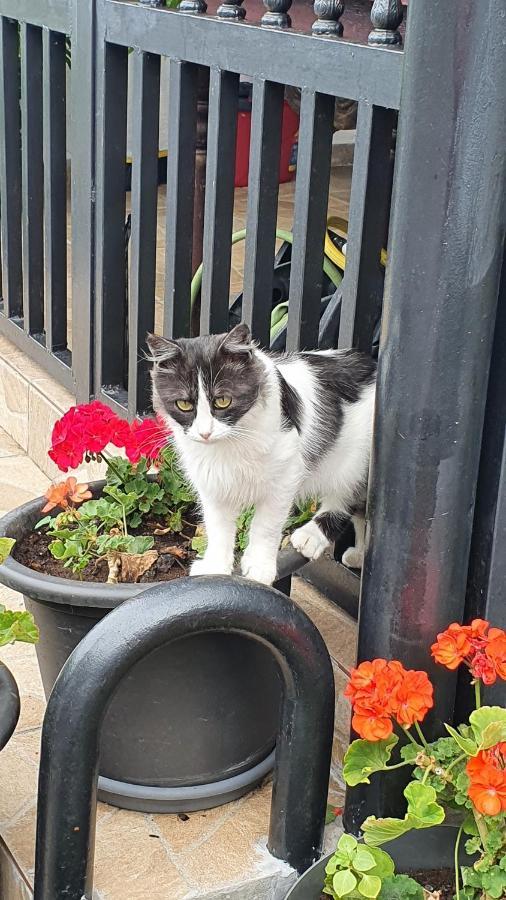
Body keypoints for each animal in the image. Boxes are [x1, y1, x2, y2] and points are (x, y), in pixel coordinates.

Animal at [146, 322, 376, 584]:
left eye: (223, 401)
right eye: (184, 405)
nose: (205, 433)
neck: (228, 446)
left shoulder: (285, 477)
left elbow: (265, 526)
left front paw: (258, 568)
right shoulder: (213, 483)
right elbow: (218, 529)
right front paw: (215, 567)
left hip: (356, 464)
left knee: (347, 502)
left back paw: (310, 536)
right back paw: (358, 556)